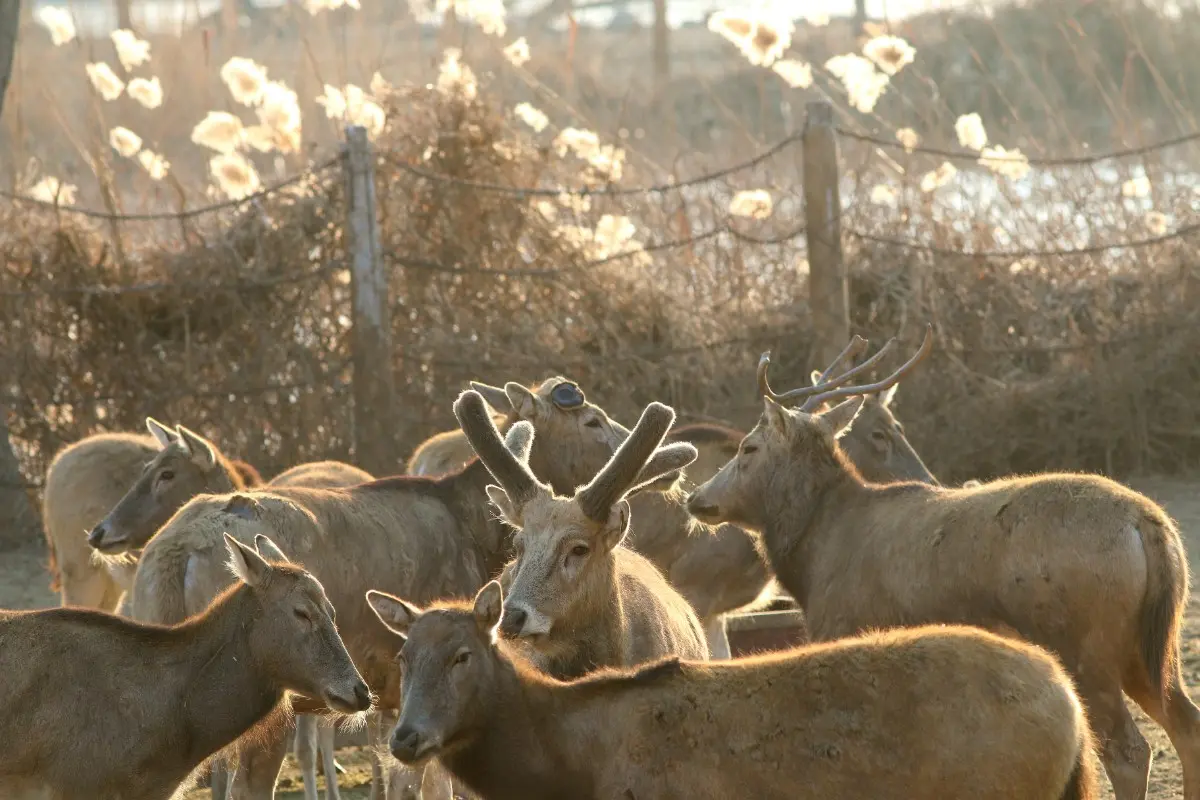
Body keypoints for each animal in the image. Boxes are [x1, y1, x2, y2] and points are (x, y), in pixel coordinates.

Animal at [686, 323, 1200, 800]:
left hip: (1086, 645)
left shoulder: (843, 627)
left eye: (748, 447)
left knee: (1129, 748)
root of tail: (1149, 526)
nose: (698, 497)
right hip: (1151, 645)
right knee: (1186, 724)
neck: (814, 559)